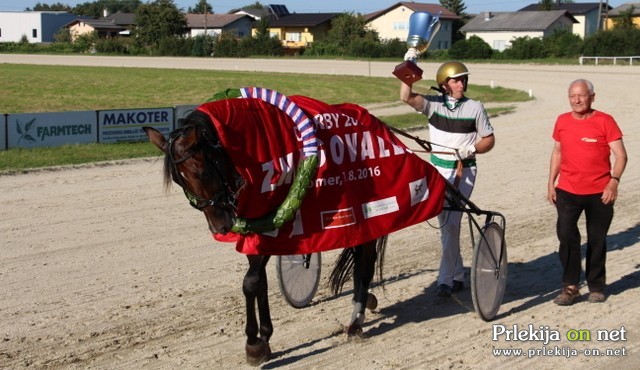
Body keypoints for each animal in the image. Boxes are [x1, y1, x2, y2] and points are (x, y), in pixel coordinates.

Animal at [144, 109, 384, 364]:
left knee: (366, 261)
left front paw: (252, 344)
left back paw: (356, 321)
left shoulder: (276, 223)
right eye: (179, 181)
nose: (219, 227)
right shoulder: (256, 229)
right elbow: (260, 281)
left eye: (204, 173)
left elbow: (250, 283)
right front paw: (265, 337)